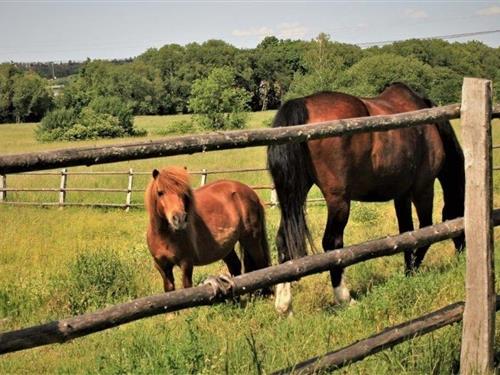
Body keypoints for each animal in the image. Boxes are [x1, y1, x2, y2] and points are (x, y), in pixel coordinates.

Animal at [268, 83, 466, 312]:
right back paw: (344, 298)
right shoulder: (422, 189)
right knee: (332, 243)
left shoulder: (402, 195)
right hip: (339, 201)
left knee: (284, 241)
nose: (462, 253)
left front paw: (408, 272)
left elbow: (407, 233)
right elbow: (425, 232)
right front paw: (413, 270)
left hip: (295, 196)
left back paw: (284, 305)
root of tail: (304, 104)